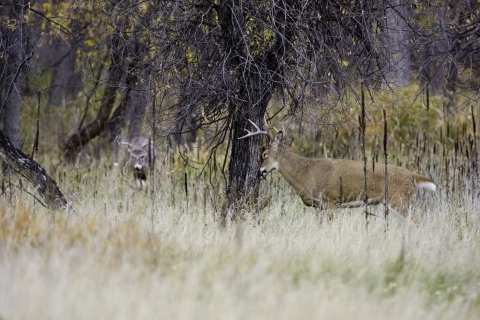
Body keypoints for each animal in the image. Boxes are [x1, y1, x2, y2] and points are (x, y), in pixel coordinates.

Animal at [238, 119, 436, 221]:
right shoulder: (318, 206)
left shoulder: (330, 201)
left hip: (399, 200)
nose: (260, 171)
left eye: (264, 154)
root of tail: (412, 176)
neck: (306, 173)